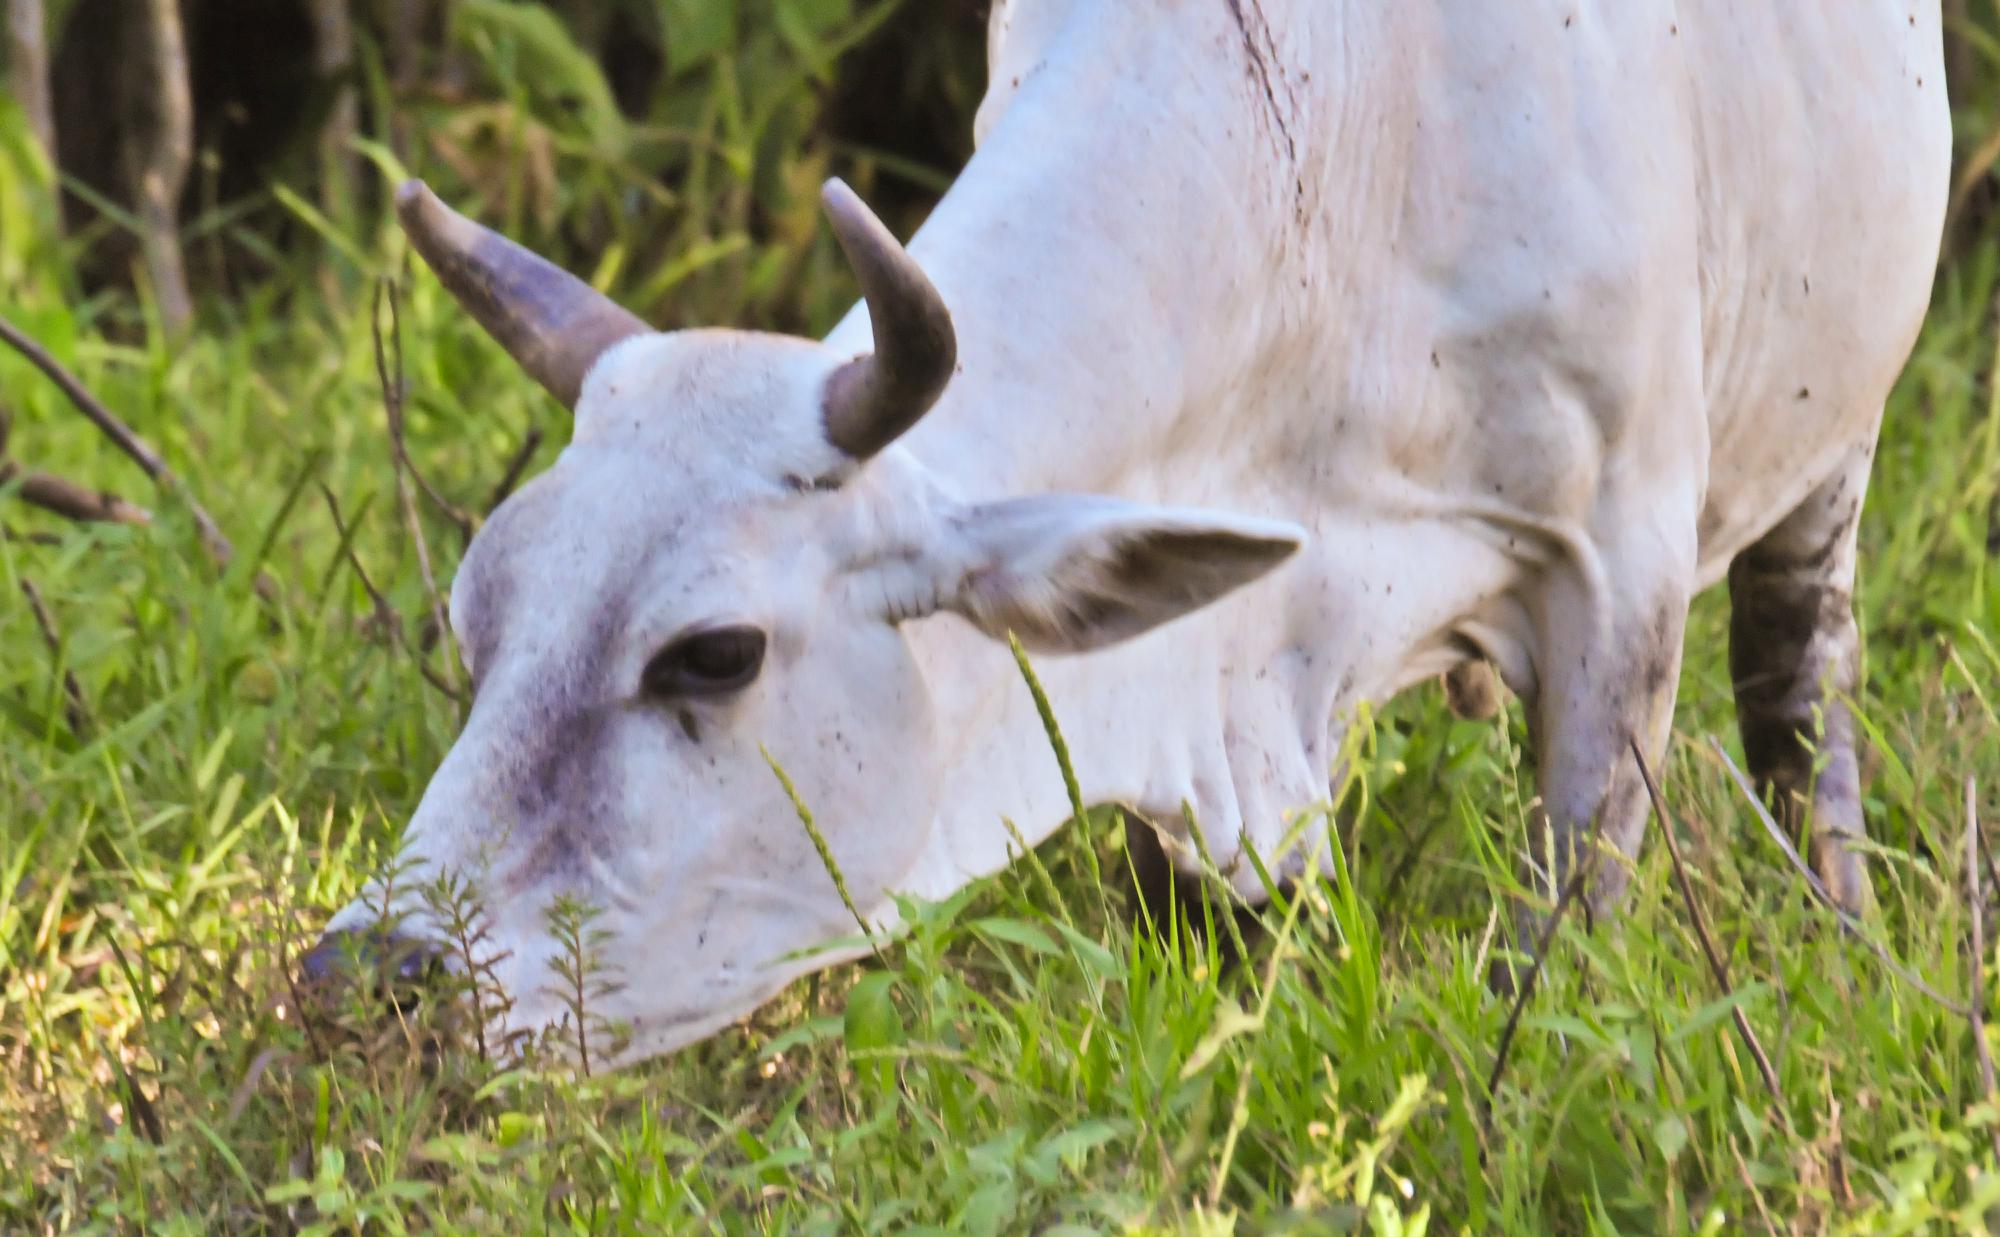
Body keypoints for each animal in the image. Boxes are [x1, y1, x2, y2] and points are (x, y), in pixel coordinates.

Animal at [312, 2, 1952, 1056]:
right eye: (480, 618)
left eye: (711, 655)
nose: (372, 979)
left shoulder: (1620, 581)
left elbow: (1559, 947)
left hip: (1836, 455)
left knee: (1802, 705)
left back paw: (1846, 939)